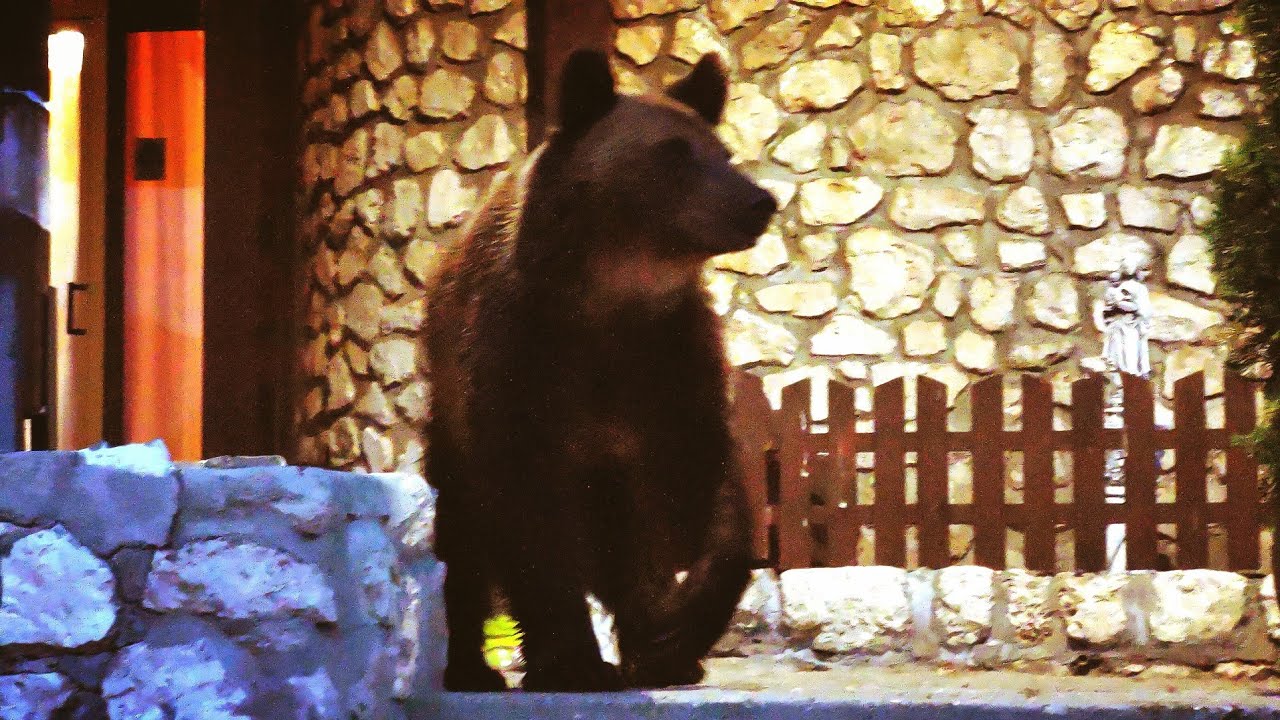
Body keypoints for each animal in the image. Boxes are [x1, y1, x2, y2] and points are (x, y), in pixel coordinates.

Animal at [425, 49, 777, 693]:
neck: (609, 296)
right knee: (461, 537)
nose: (757, 201)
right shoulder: (522, 358)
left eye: (723, 151)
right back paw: (472, 667)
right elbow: (530, 515)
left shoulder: (667, 359)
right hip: (450, 423)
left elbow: (704, 484)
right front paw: (573, 662)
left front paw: (673, 633)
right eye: (672, 153)